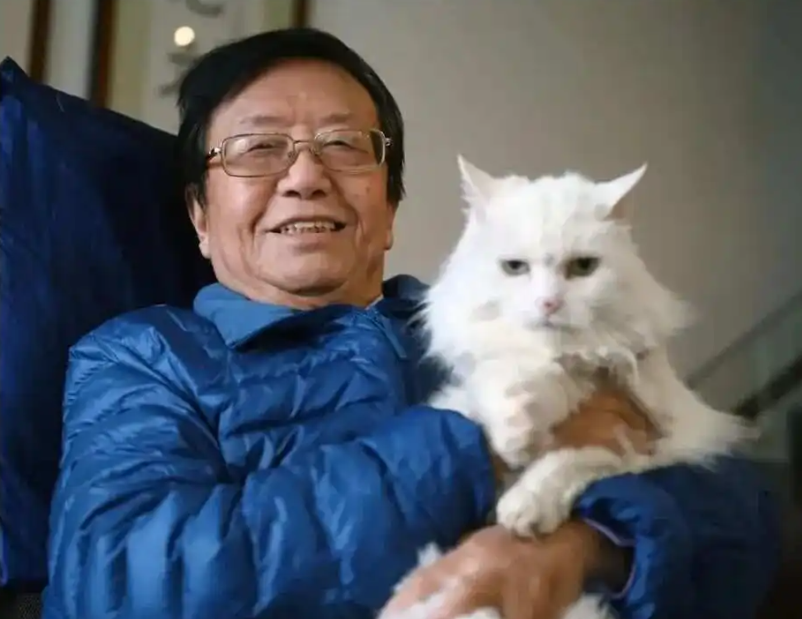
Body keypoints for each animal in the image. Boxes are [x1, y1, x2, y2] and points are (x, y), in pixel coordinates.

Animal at [379, 157, 753, 619]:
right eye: (515, 268)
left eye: (583, 267)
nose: (549, 304)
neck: (560, 363)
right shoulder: (469, 394)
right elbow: (500, 388)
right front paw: (516, 434)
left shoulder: (661, 438)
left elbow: (572, 458)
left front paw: (527, 506)